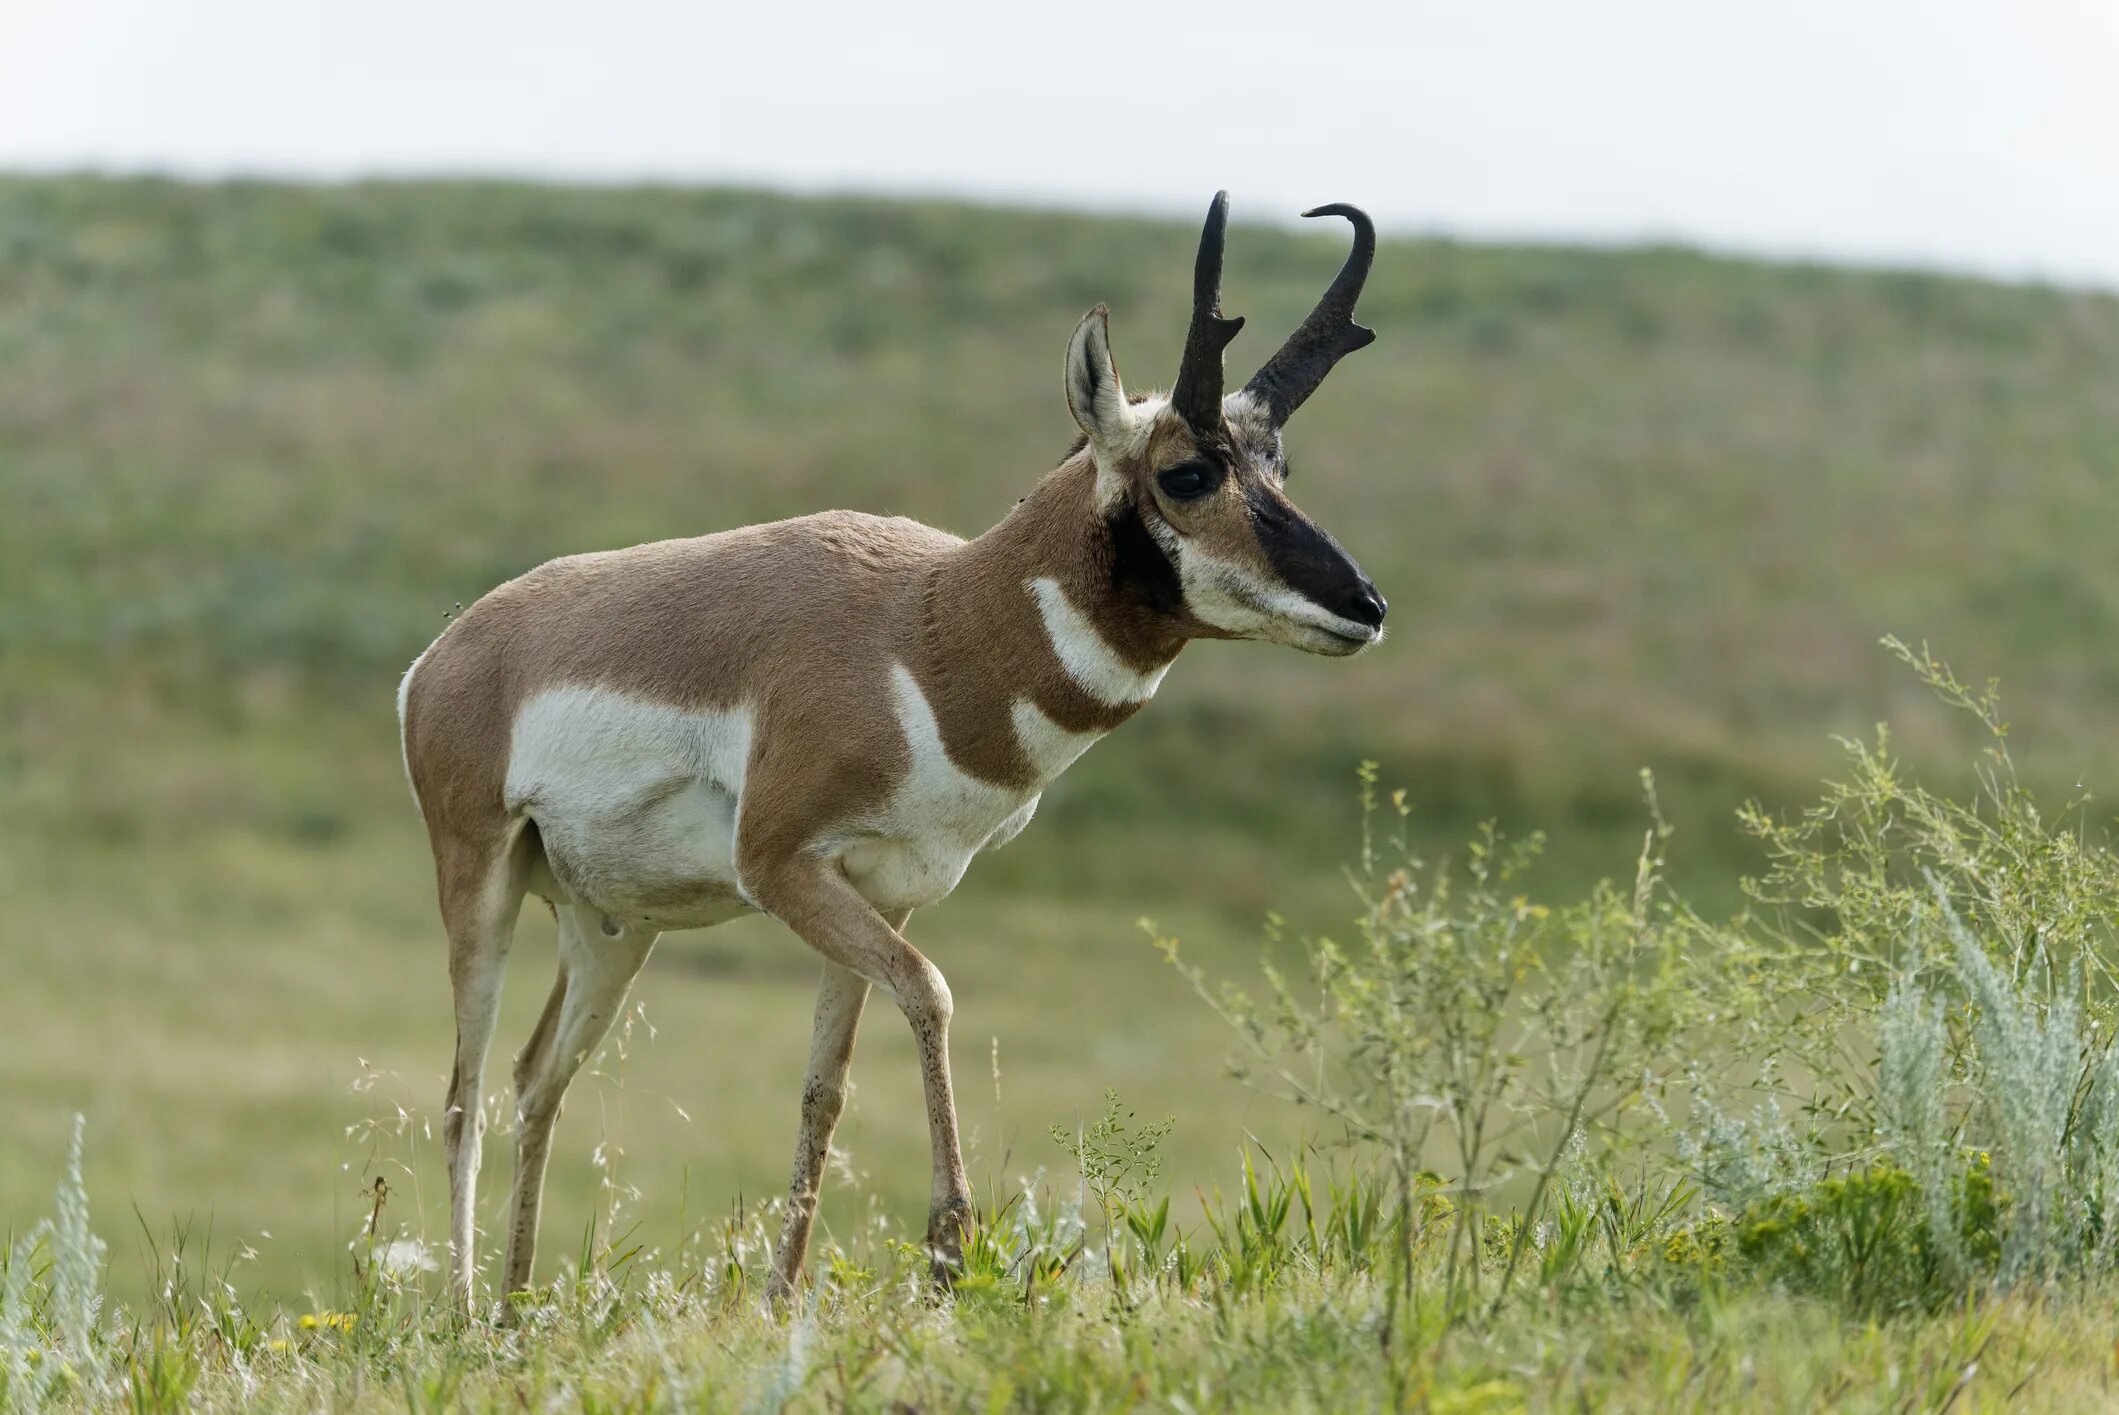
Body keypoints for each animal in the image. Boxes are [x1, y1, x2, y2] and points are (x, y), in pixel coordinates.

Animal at [398, 193, 1390, 1313]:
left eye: (1278, 466)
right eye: (1187, 472)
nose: (1364, 604)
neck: (926, 625)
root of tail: (448, 649)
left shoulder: (878, 889)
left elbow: (824, 1085)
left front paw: (782, 1297)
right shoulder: (783, 868)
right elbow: (934, 992)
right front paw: (949, 1243)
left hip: (611, 927)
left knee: (538, 1078)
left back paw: (517, 1309)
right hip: (480, 882)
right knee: (464, 1094)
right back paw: (466, 1312)